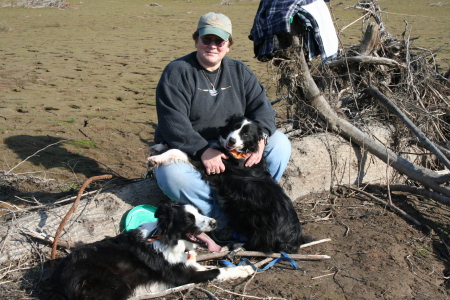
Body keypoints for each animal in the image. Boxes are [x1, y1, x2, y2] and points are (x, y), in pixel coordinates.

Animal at [48, 203, 256, 298]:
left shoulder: (189, 265)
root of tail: (58, 278)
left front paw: (242, 264)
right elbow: (219, 271)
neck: (167, 239)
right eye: (189, 219)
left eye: (199, 213)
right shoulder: (186, 276)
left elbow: (215, 265)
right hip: (117, 283)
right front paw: (245, 269)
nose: (214, 222)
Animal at [149, 115, 302, 253]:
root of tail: (293, 240)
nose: (232, 140)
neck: (239, 152)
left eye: (246, 134)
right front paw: (158, 146)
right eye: (234, 127)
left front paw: (156, 159)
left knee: (260, 246)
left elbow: (179, 151)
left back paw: (235, 246)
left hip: (255, 221)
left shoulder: (211, 164)